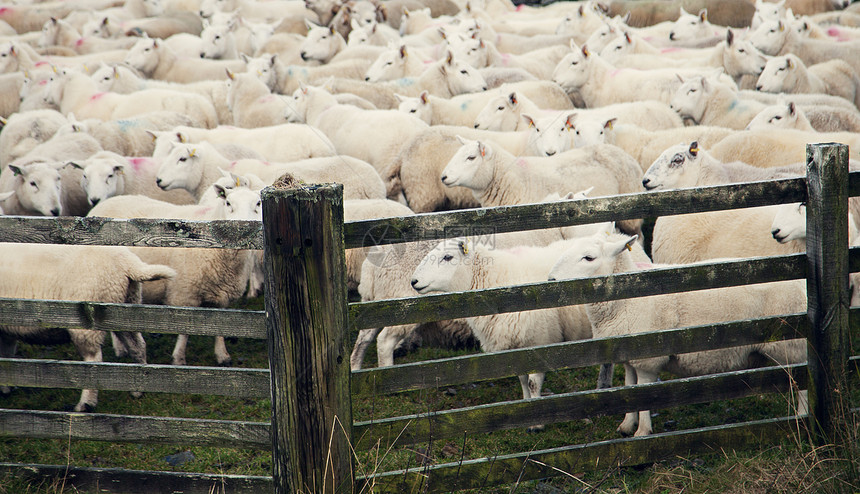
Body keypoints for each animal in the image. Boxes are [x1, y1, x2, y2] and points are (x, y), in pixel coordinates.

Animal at [0, 242, 176, 410]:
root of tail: (126, 262)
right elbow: (7, 355)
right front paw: (7, 388)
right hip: (126, 308)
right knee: (137, 345)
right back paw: (138, 389)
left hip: (87, 323)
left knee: (93, 362)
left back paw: (85, 404)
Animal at [87, 183, 262, 364]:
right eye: (228, 203)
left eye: (258, 203)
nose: (244, 225)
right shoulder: (185, 293)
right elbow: (184, 332)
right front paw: (179, 358)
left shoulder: (222, 295)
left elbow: (220, 325)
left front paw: (222, 356)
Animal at [552, 232, 808, 436]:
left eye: (589, 257)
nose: (551, 280)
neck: (625, 300)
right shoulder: (629, 356)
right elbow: (629, 389)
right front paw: (626, 425)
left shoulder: (647, 359)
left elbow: (643, 394)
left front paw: (642, 432)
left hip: (792, 344)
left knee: (803, 383)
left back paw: (802, 417)